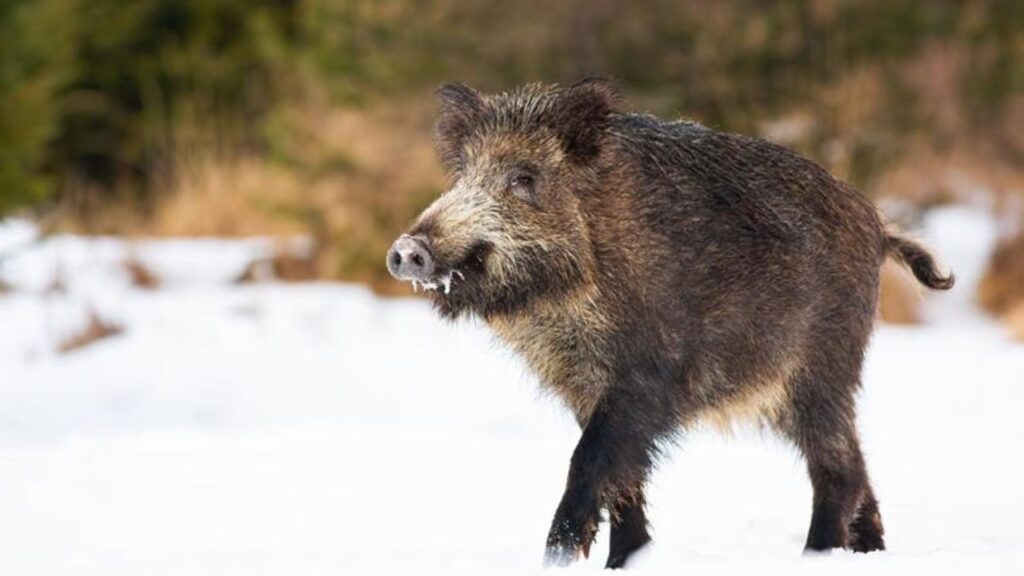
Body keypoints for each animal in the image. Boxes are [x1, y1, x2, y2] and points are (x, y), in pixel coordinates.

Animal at [386, 79, 954, 568]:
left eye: (523, 178)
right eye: (464, 173)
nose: (407, 249)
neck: (565, 301)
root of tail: (877, 225)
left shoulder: (648, 375)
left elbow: (590, 461)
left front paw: (559, 558)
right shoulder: (582, 386)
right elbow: (624, 480)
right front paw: (623, 561)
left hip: (821, 368)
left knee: (837, 468)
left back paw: (815, 557)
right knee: (855, 462)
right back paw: (869, 552)